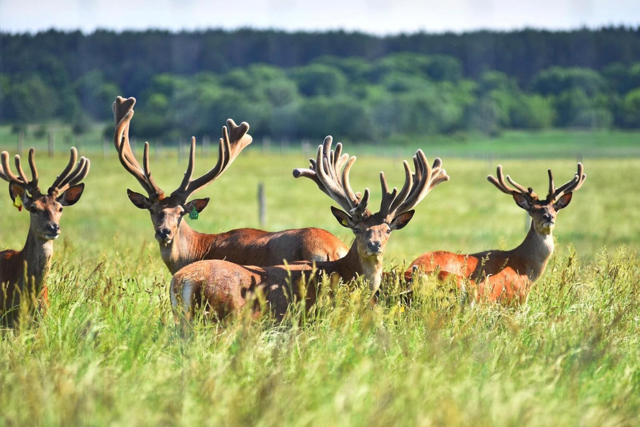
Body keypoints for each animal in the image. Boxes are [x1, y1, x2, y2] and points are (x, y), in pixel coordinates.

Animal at [408, 163, 588, 304]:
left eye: (555, 208)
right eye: (533, 210)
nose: (548, 217)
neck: (523, 266)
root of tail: (411, 267)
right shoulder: (517, 300)